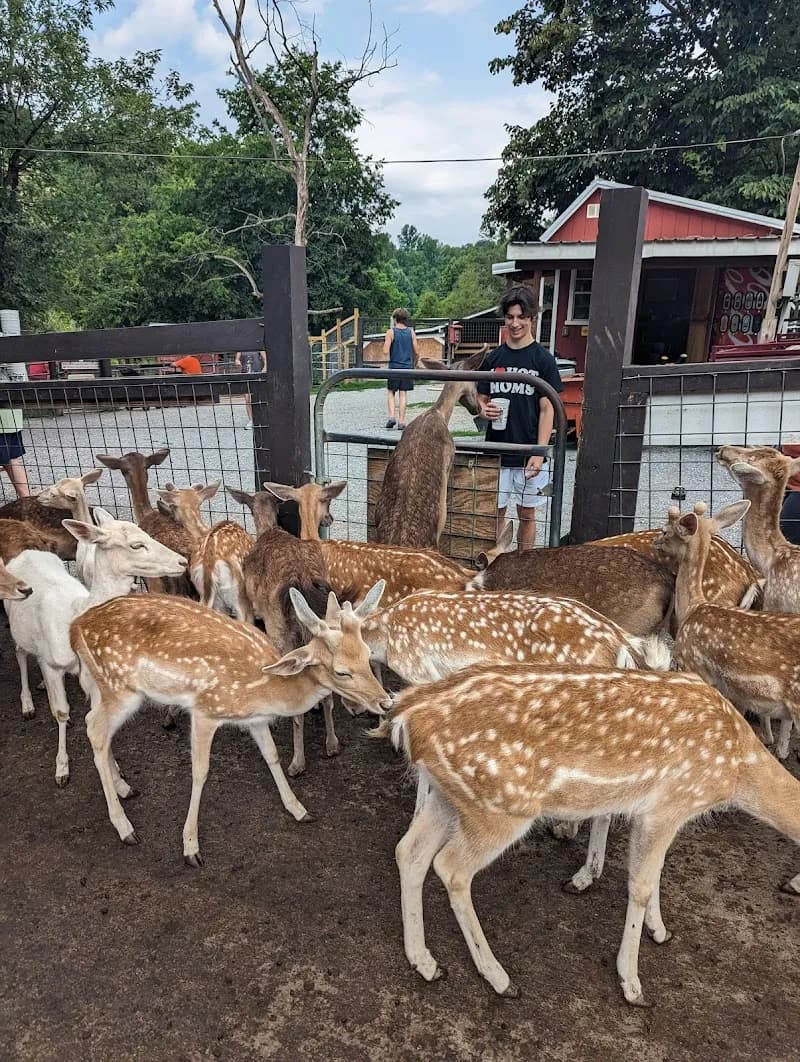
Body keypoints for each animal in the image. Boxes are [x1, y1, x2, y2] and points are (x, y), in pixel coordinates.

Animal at [4, 510, 187, 786]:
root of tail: (26, 553)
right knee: (20, 652)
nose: (183, 561)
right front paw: (62, 769)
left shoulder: (94, 676)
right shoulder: (52, 663)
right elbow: (61, 711)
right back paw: (27, 704)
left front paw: (120, 778)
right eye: (136, 544)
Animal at [70, 583, 391, 865]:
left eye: (367, 654)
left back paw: (124, 787)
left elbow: (272, 755)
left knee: (95, 724)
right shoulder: (206, 710)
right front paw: (190, 847)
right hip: (121, 688)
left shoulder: (254, 719)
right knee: (95, 729)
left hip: (107, 687)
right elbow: (200, 772)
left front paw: (299, 809)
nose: (385, 702)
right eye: (342, 672)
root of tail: (75, 627)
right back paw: (125, 827)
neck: (266, 690)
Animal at [380, 662, 800, 1006]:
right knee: (451, 867)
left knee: (409, 851)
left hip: (450, 796)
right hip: (501, 807)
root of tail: (407, 716)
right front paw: (632, 984)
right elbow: (641, 885)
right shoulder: (668, 805)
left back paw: (425, 962)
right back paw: (501, 979)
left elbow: (656, 874)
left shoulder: (658, 813)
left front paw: (660, 931)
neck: (738, 771)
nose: (791, 885)